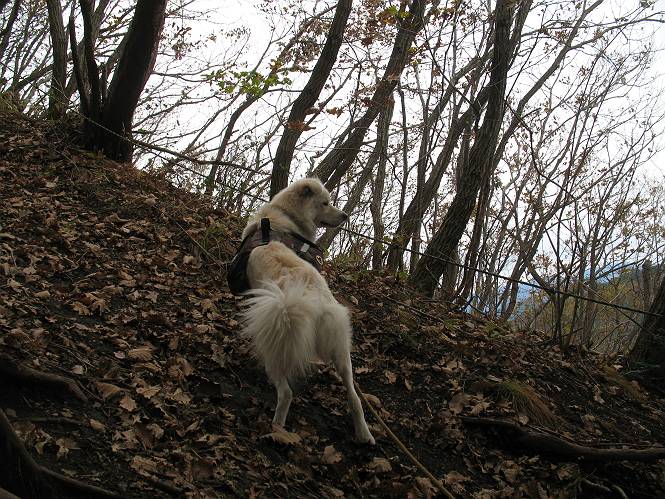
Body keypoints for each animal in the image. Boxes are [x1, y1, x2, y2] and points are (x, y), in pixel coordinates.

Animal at [239, 177, 375, 444]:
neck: (281, 216)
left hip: (276, 344)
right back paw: (364, 434)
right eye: (325, 203)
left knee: (285, 393)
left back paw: (277, 429)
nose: (345, 215)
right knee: (354, 396)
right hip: (342, 350)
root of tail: (313, 303)